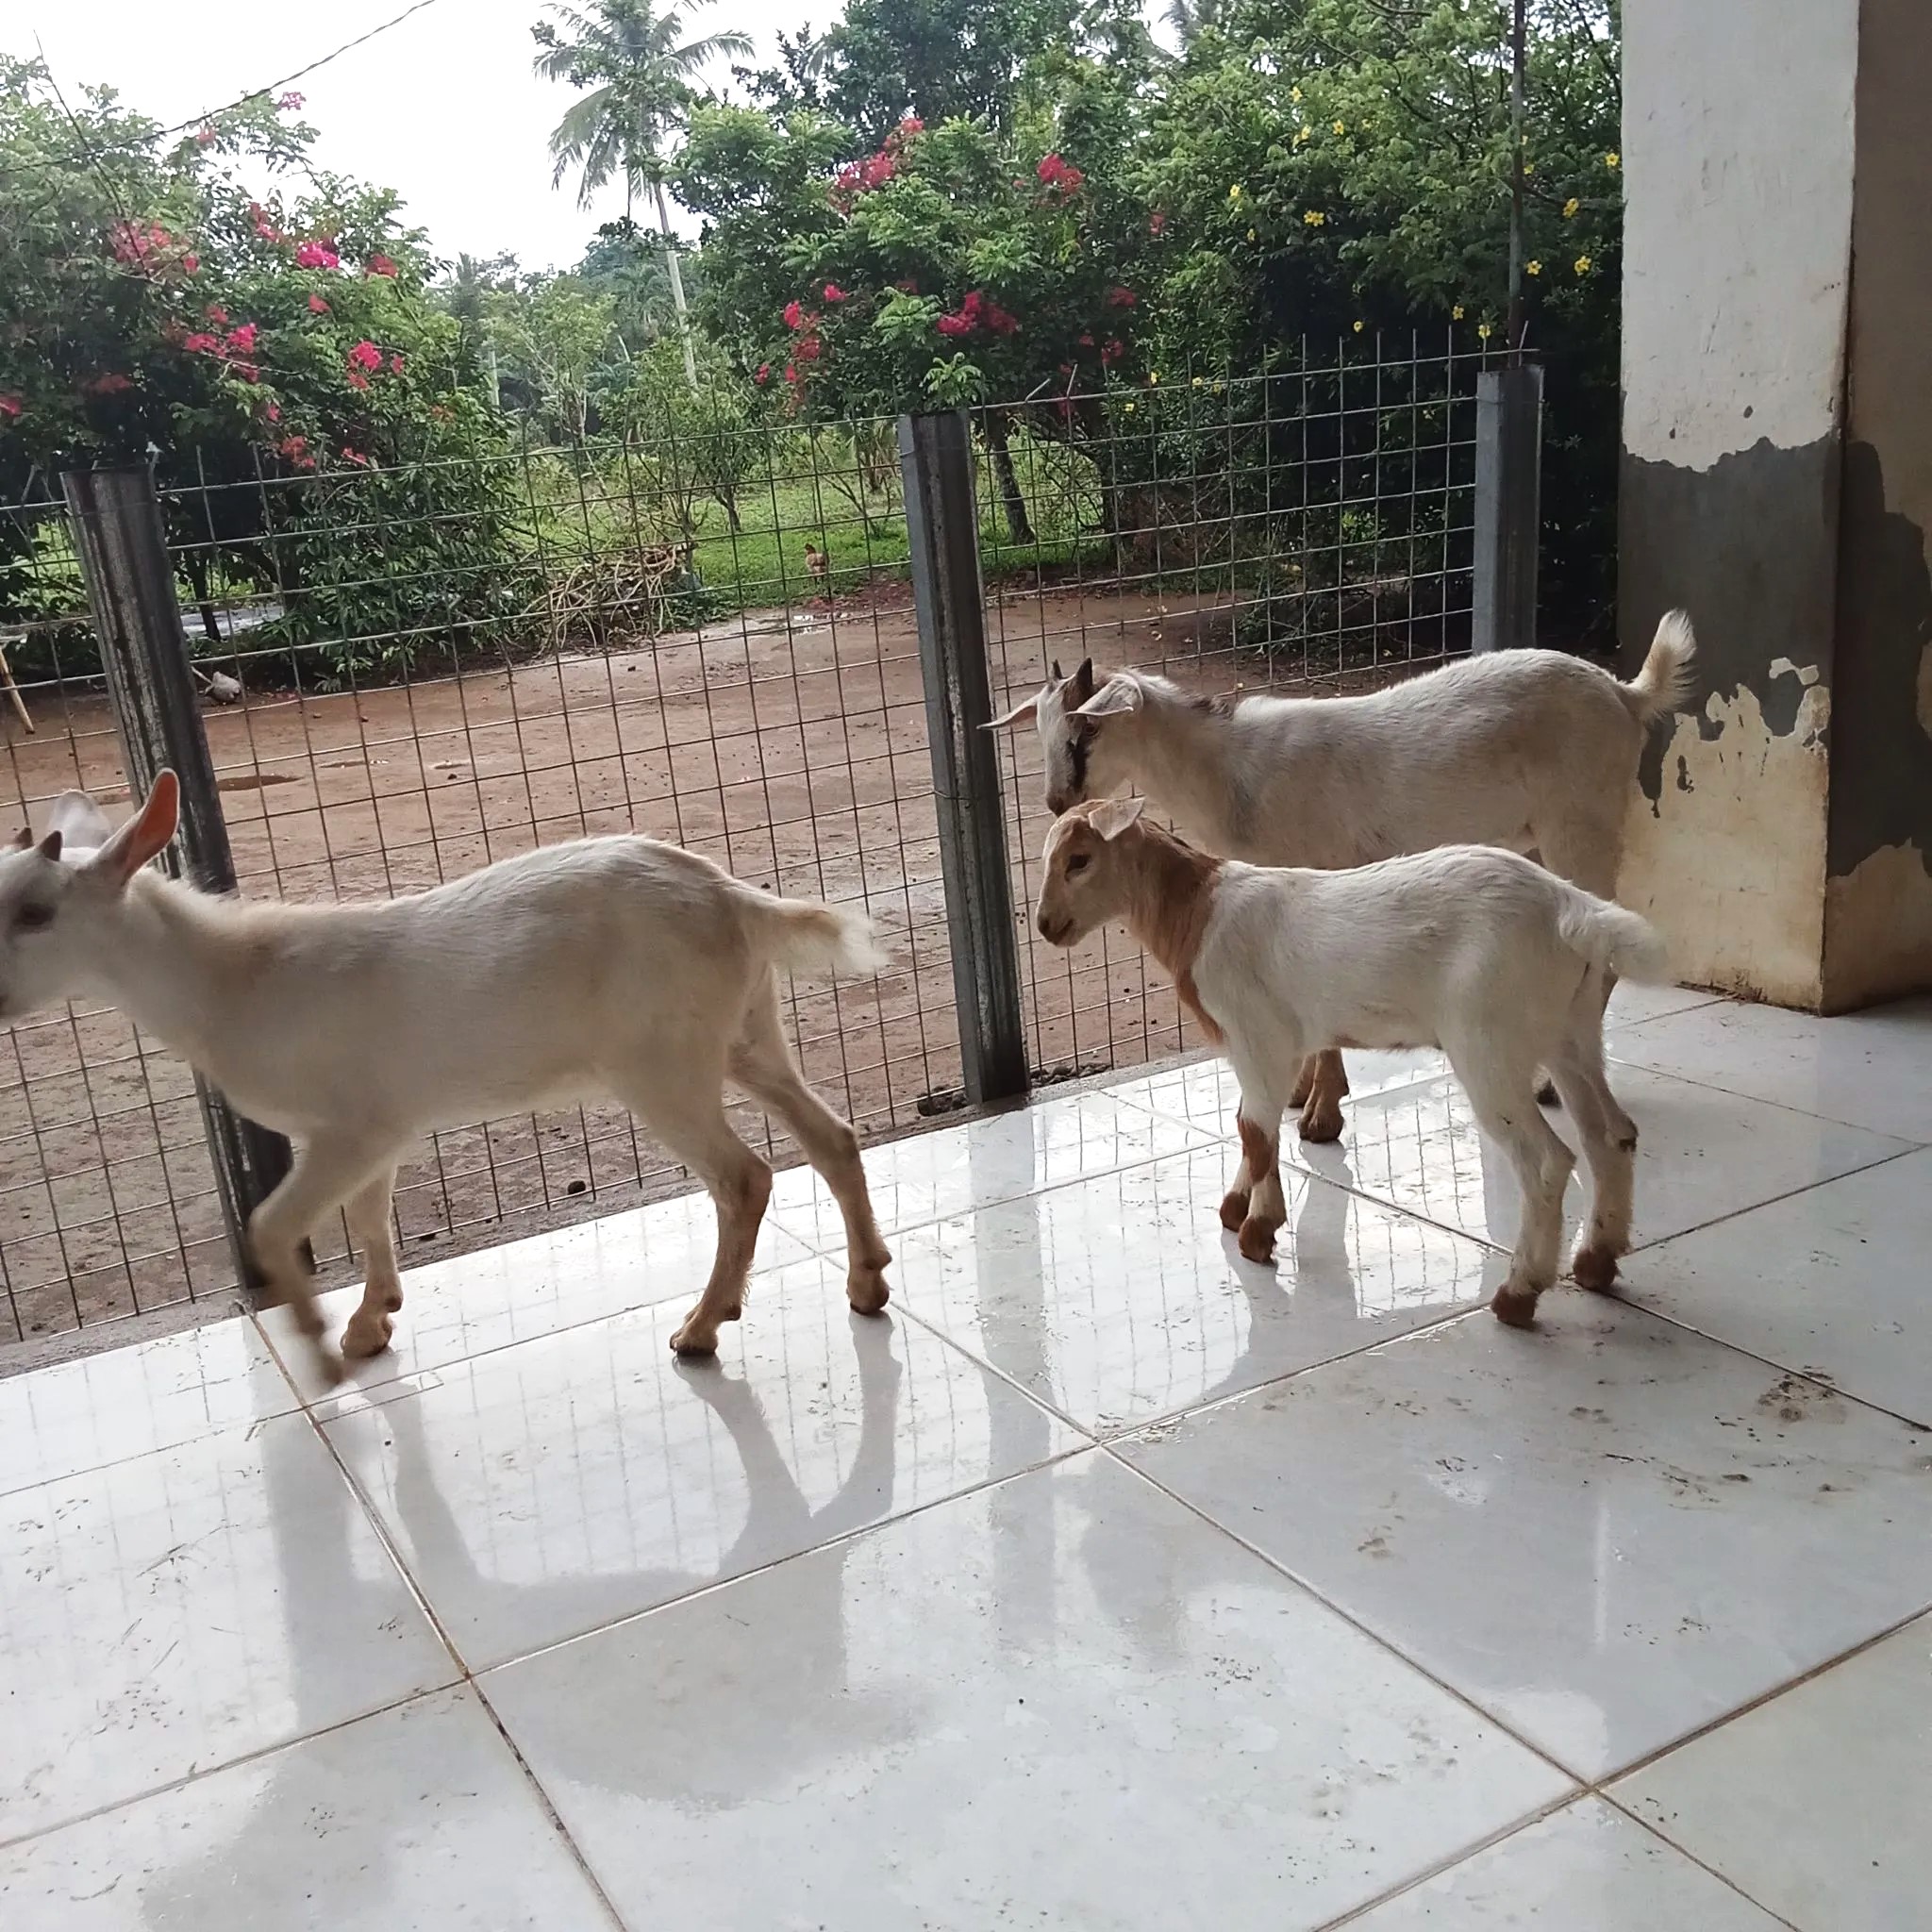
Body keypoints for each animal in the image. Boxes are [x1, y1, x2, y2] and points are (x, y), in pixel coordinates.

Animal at [0, 776, 894, 1383]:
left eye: (36, 913)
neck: (233, 983)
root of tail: (737, 900)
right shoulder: (381, 1123)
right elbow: (369, 1217)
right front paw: (371, 1323)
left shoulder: (346, 1124)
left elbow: (269, 1224)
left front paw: (320, 1347)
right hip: (744, 1030)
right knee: (831, 1133)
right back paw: (866, 1283)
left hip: (658, 1060)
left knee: (744, 1177)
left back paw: (701, 1329)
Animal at [991, 614, 1696, 1144]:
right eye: (1043, 734)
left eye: (1085, 733)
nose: (1056, 800)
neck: (1232, 773)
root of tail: (1625, 694)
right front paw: (1302, 1093)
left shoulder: (1314, 872)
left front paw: (1320, 1117)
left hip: (1583, 821)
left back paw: (1550, 1085)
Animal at [1032, 797, 1669, 1327]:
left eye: (1080, 860)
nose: (1044, 926)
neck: (1197, 912)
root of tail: (1570, 908)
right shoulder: (1262, 1047)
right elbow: (1253, 1128)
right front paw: (1239, 1208)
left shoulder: (1261, 1035)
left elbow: (1254, 1130)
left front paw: (1257, 1234)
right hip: (1570, 1030)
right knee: (1611, 1133)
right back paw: (1597, 1260)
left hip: (1490, 1039)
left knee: (1546, 1161)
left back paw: (1518, 1294)